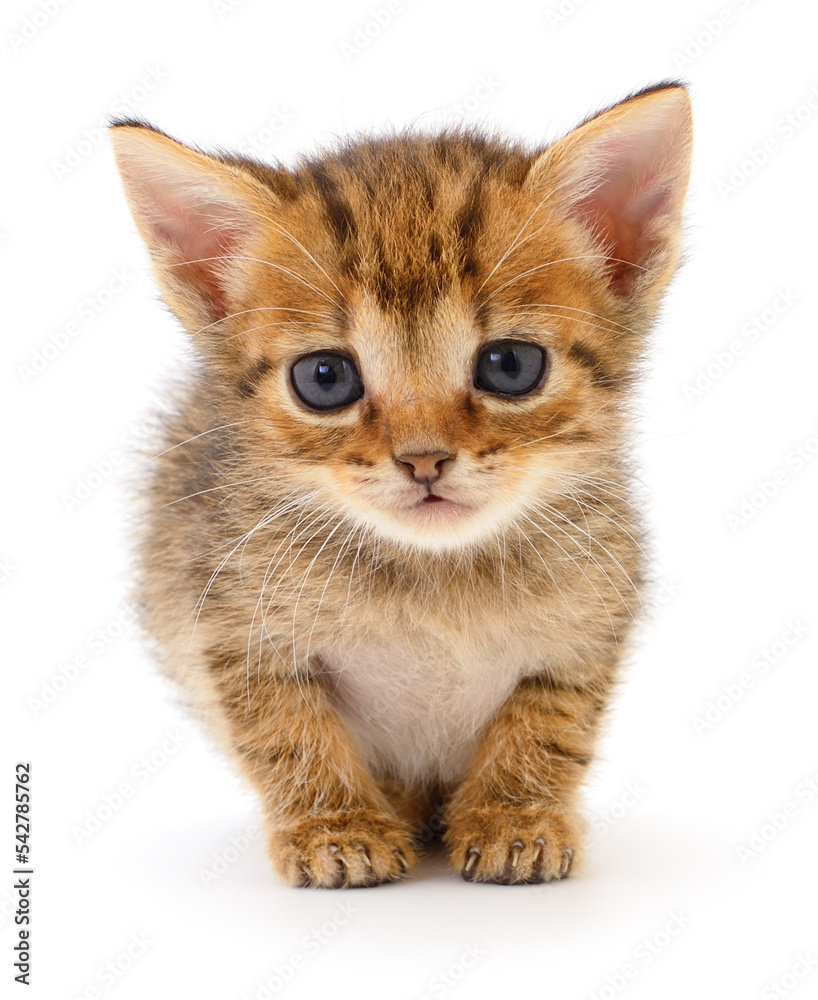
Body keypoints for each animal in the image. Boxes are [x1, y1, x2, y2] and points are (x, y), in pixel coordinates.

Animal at [111, 82, 692, 888]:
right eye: (325, 378)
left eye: (511, 366)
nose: (423, 460)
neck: (432, 572)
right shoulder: (231, 623)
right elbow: (287, 733)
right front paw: (336, 827)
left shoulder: (589, 624)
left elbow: (551, 724)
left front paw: (516, 815)